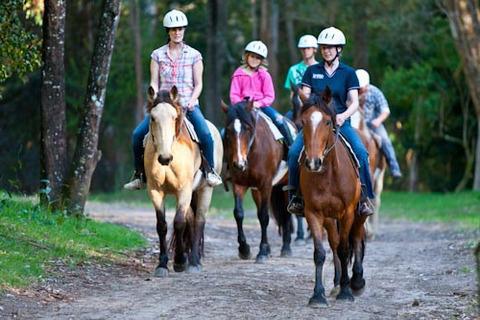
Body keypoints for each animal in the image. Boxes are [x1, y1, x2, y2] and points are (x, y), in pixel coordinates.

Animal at [144, 85, 223, 278]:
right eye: (152, 117)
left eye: (174, 117)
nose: (164, 158)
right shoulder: (155, 191)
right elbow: (162, 225)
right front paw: (162, 265)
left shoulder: (184, 190)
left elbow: (179, 223)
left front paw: (179, 262)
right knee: (191, 219)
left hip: (204, 189)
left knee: (199, 220)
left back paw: (194, 261)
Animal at [221, 99, 292, 262]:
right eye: (228, 131)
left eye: (247, 129)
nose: (239, 164)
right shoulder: (239, 184)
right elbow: (239, 213)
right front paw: (244, 249)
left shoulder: (266, 184)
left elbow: (264, 216)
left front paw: (263, 252)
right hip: (256, 190)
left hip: (284, 185)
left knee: (285, 214)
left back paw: (286, 248)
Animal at [296, 87, 368, 304]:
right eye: (303, 122)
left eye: (327, 122)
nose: (313, 162)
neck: (328, 174)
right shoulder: (313, 213)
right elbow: (320, 253)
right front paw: (318, 295)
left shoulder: (348, 213)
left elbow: (345, 249)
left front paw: (346, 292)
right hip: (329, 218)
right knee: (334, 244)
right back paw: (337, 284)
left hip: (358, 215)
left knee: (356, 239)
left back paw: (356, 282)